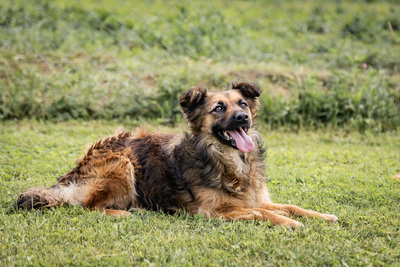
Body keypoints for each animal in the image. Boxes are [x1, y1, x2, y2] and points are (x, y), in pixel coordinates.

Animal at [13, 81, 338, 228]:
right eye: (218, 108)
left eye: (243, 104)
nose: (242, 118)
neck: (229, 161)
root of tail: (71, 174)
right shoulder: (213, 212)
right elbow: (264, 213)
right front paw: (289, 224)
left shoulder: (254, 198)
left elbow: (291, 206)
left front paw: (321, 215)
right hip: (121, 162)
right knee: (89, 207)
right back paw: (126, 212)